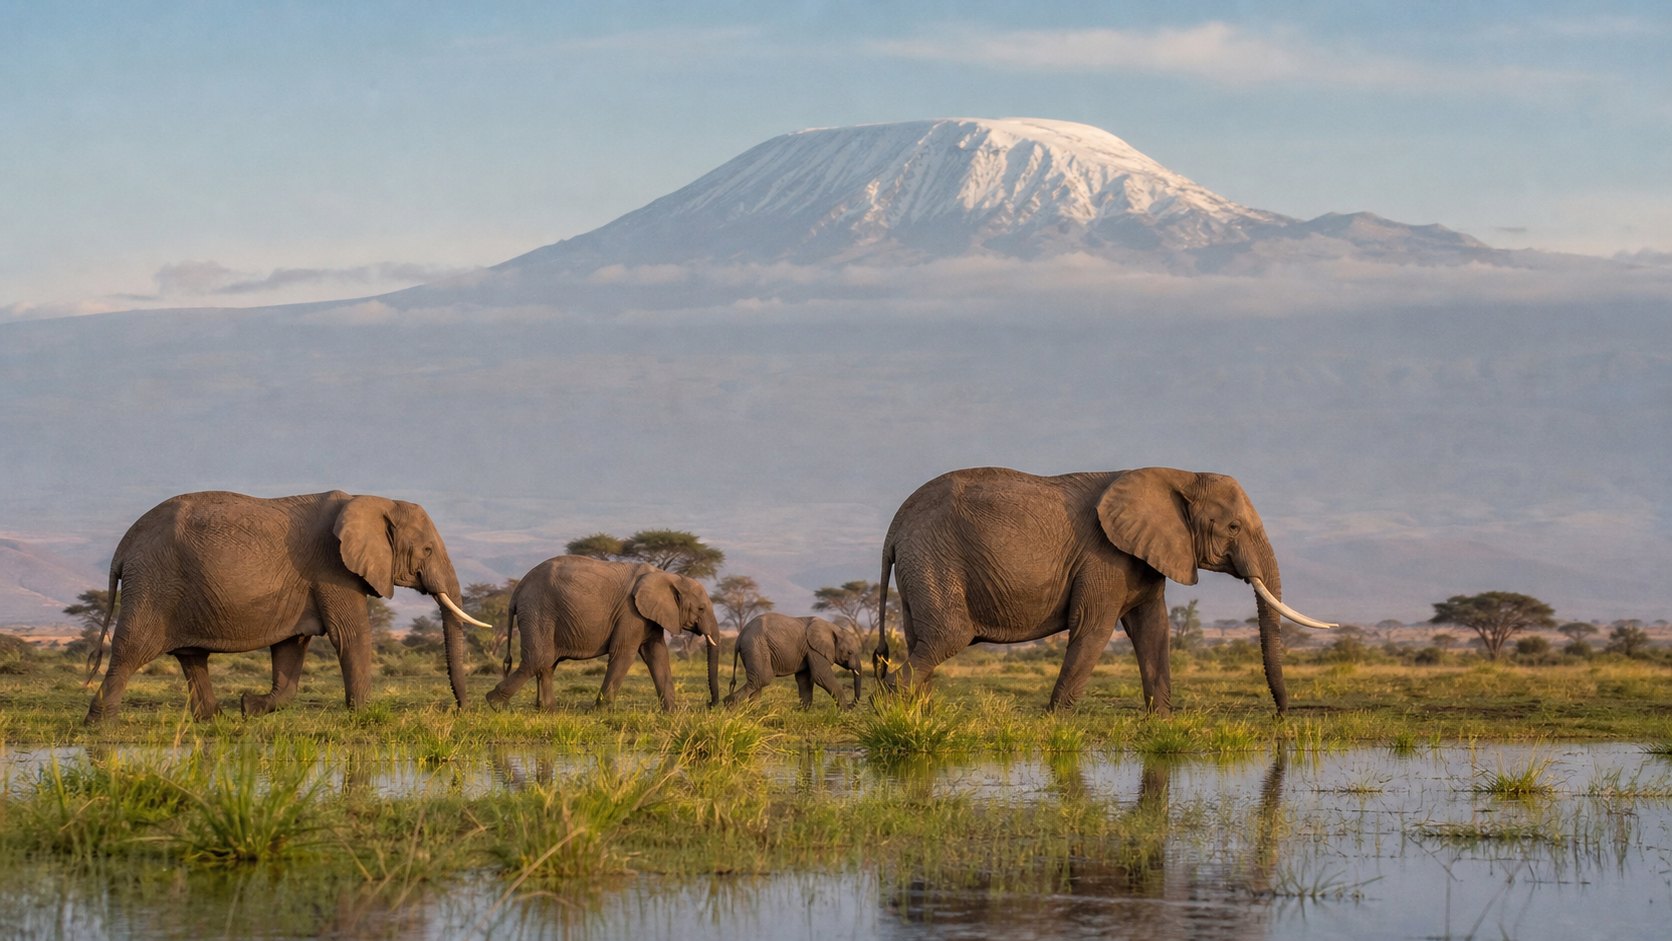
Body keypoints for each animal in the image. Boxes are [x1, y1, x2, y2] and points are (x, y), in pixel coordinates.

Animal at [84, 490, 492, 722]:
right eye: (427, 550)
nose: (463, 710)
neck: (374, 500)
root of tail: (124, 545)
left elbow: (290, 646)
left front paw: (249, 706)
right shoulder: (332, 567)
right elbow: (351, 635)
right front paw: (365, 714)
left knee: (192, 656)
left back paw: (215, 719)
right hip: (154, 583)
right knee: (131, 650)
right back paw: (99, 723)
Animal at [485, 555, 721, 711]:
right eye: (701, 609)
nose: (710, 703)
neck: (667, 576)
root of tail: (518, 589)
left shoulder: (648, 615)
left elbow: (657, 655)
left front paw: (672, 712)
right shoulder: (630, 612)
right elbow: (624, 654)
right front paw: (601, 710)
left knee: (548, 662)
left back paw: (548, 710)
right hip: (538, 609)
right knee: (539, 658)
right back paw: (494, 703)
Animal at [723, 612, 864, 708]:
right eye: (850, 652)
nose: (851, 704)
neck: (834, 627)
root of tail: (740, 635)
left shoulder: (807, 650)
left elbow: (805, 679)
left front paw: (803, 711)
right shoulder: (813, 649)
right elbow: (822, 676)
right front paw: (845, 711)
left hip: (753, 649)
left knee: (758, 681)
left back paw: (753, 713)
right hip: (756, 646)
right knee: (762, 678)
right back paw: (729, 705)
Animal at [873, 467, 1335, 715]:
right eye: (1234, 527)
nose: (1282, 714)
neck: (1178, 474)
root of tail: (894, 527)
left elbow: (1154, 630)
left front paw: (1161, 721)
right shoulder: (1103, 557)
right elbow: (1093, 630)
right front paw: (1054, 722)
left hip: (922, 565)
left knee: (922, 641)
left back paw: (921, 716)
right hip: (934, 558)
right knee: (947, 637)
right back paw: (895, 707)